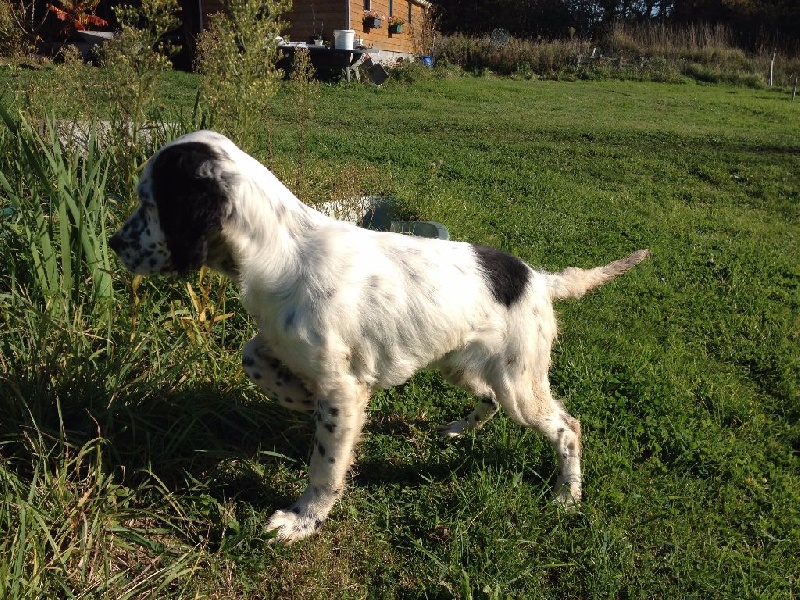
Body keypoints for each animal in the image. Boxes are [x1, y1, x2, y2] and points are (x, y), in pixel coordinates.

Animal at [109, 131, 648, 544]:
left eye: (149, 203)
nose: (113, 243)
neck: (282, 250)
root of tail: (538, 278)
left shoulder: (344, 387)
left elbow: (325, 466)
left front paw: (303, 521)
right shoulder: (285, 343)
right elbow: (252, 356)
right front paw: (297, 397)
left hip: (521, 383)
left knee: (567, 426)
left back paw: (566, 495)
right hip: (461, 362)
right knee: (488, 398)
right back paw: (459, 430)